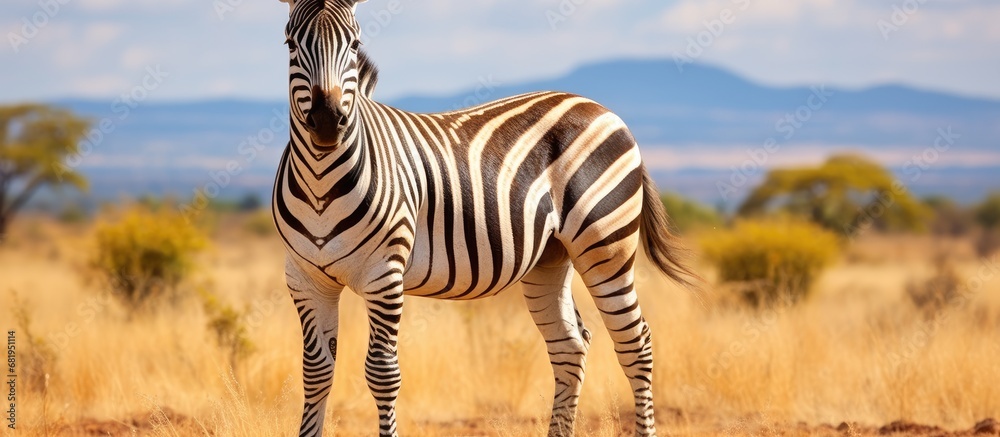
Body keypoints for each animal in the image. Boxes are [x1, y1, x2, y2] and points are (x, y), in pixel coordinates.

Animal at [271, 0, 696, 436]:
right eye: (290, 43)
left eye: (354, 45)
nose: (326, 122)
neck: (322, 183)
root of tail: (601, 109)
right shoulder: (305, 280)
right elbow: (316, 373)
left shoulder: (385, 276)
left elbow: (382, 373)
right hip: (550, 258)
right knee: (570, 345)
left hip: (606, 246)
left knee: (636, 344)